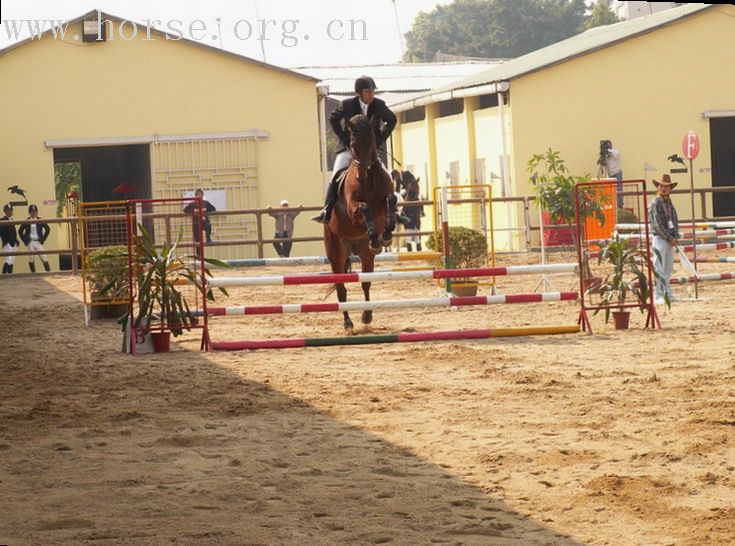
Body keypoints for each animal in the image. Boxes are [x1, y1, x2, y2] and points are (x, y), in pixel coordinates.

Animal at [324, 112, 400, 330]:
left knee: (365, 282)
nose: (359, 176)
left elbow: (391, 200)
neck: (370, 177)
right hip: (336, 253)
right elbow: (365, 208)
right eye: (351, 143)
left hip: (365, 254)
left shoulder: (384, 202)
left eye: (371, 142)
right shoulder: (353, 209)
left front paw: (387, 233)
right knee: (341, 288)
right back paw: (348, 322)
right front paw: (376, 235)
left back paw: (367, 315)